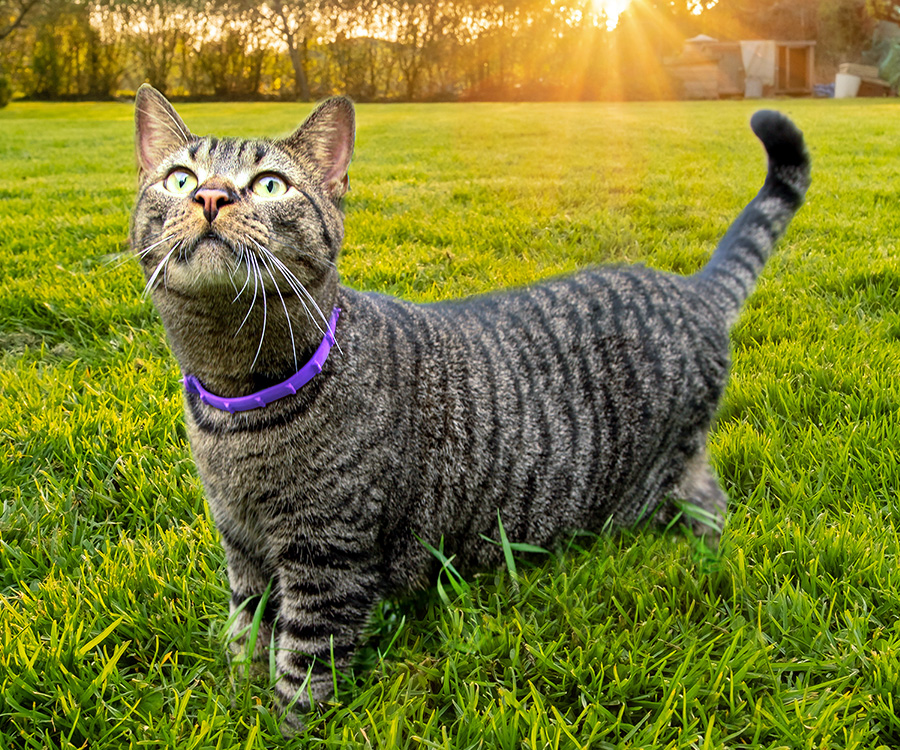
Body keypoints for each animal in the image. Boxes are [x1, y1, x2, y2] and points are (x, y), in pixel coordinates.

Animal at [132, 83, 808, 736]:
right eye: (180, 179)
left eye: (271, 184)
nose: (211, 196)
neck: (236, 401)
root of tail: (689, 288)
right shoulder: (242, 546)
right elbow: (246, 633)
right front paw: (234, 697)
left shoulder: (329, 557)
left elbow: (303, 664)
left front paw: (280, 724)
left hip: (659, 481)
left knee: (709, 504)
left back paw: (703, 557)